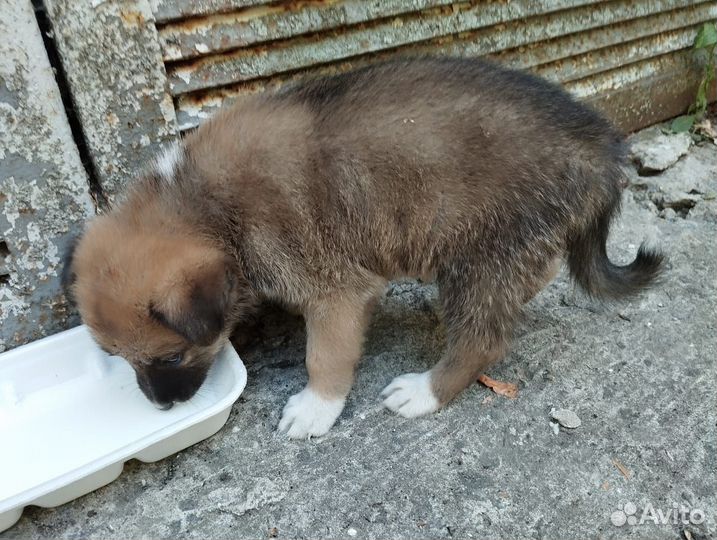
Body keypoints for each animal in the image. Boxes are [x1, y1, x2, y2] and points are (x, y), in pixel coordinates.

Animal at [64, 57, 664, 438]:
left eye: (170, 357)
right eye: (118, 359)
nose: (160, 406)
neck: (205, 205)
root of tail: (601, 150)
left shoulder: (335, 290)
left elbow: (324, 355)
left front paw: (315, 409)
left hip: (482, 256)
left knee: (484, 339)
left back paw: (425, 391)